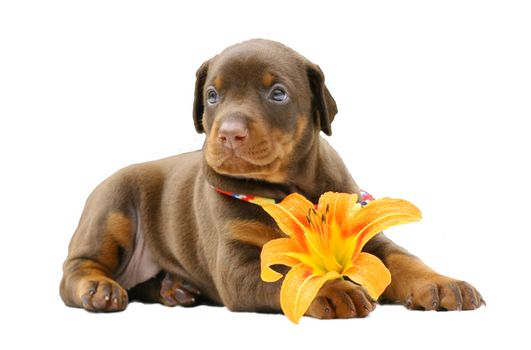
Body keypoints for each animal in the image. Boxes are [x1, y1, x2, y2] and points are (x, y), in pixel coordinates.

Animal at [60, 39, 484, 318]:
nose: (229, 134)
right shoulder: (239, 264)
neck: (288, 189)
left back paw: (174, 288)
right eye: (212, 95)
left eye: (277, 93)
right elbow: (288, 276)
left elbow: (403, 260)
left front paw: (440, 283)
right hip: (112, 205)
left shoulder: (369, 239)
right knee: (75, 270)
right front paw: (333, 289)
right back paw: (99, 288)